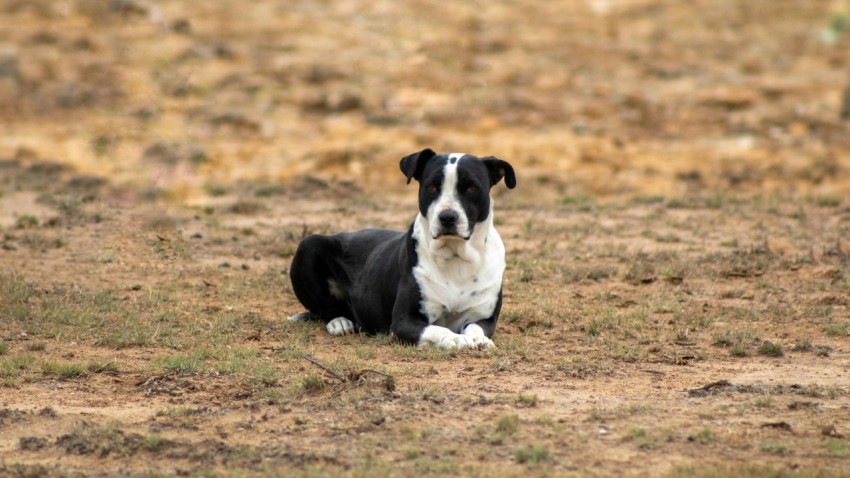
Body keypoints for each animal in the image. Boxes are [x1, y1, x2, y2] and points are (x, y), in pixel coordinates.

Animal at [288, 150, 512, 352]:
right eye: (431, 187)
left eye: (472, 187)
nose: (447, 217)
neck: (455, 255)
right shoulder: (404, 321)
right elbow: (437, 329)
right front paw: (455, 339)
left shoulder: (486, 319)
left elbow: (474, 327)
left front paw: (479, 339)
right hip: (309, 244)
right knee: (326, 308)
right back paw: (340, 322)